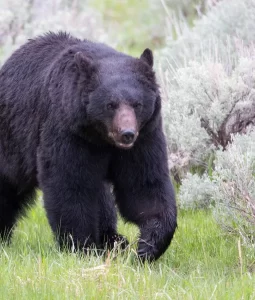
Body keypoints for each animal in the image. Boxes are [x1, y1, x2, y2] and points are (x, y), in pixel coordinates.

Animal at [0, 32, 175, 260]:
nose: (127, 134)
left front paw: (148, 246)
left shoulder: (145, 136)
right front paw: (82, 246)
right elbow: (70, 183)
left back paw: (114, 239)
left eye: (137, 104)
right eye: (110, 104)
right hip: (13, 140)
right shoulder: (68, 131)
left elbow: (143, 184)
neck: (101, 138)